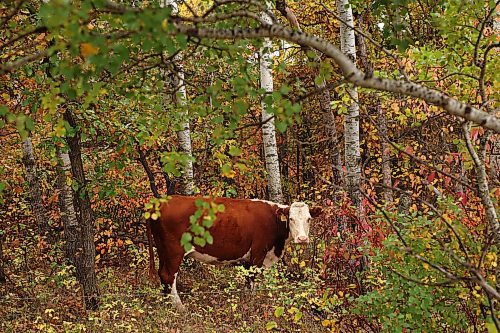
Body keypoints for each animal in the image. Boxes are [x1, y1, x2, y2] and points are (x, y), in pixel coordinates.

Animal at [146, 195, 322, 308]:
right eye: (291, 219)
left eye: (309, 219)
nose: (302, 239)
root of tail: (159, 202)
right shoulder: (258, 252)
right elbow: (252, 280)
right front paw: (251, 303)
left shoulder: (247, 259)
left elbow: (247, 281)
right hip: (174, 250)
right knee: (169, 275)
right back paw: (179, 307)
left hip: (162, 249)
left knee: (162, 274)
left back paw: (166, 303)